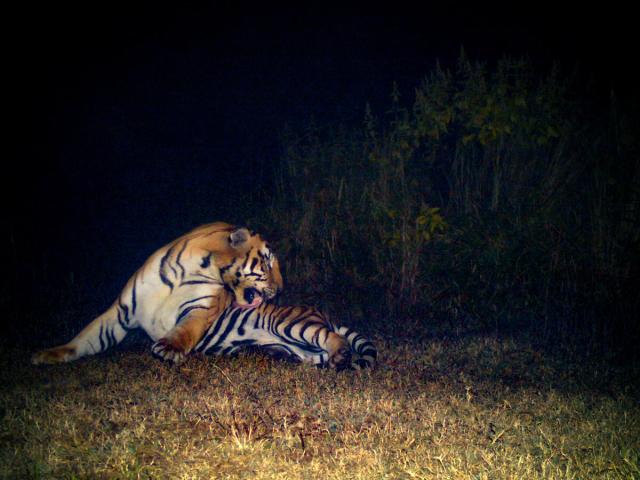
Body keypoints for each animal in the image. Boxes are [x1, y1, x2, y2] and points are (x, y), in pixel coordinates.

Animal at [31, 222, 283, 365]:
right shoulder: (121, 312)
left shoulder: (200, 308)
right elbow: (87, 337)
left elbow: (185, 330)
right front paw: (51, 353)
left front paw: (170, 348)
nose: (281, 288)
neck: (200, 267)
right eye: (268, 263)